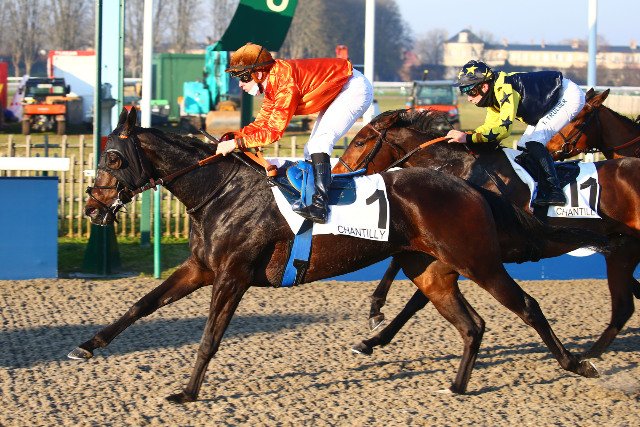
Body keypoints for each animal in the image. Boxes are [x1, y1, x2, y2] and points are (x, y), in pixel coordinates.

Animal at [69, 108, 605, 402]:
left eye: (113, 157)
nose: (93, 207)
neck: (220, 192)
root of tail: (470, 187)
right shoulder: (201, 267)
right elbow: (142, 305)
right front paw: (87, 345)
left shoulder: (232, 275)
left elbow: (209, 339)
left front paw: (187, 391)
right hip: (428, 269)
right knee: (472, 325)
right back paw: (455, 385)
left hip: (481, 262)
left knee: (528, 307)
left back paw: (578, 364)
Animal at [333, 108, 640, 359]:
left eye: (359, 142)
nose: (337, 172)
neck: (464, 170)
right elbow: (407, 275)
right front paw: (372, 331)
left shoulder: (468, 248)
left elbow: (413, 290)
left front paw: (375, 317)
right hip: (622, 250)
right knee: (624, 306)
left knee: (622, 306)